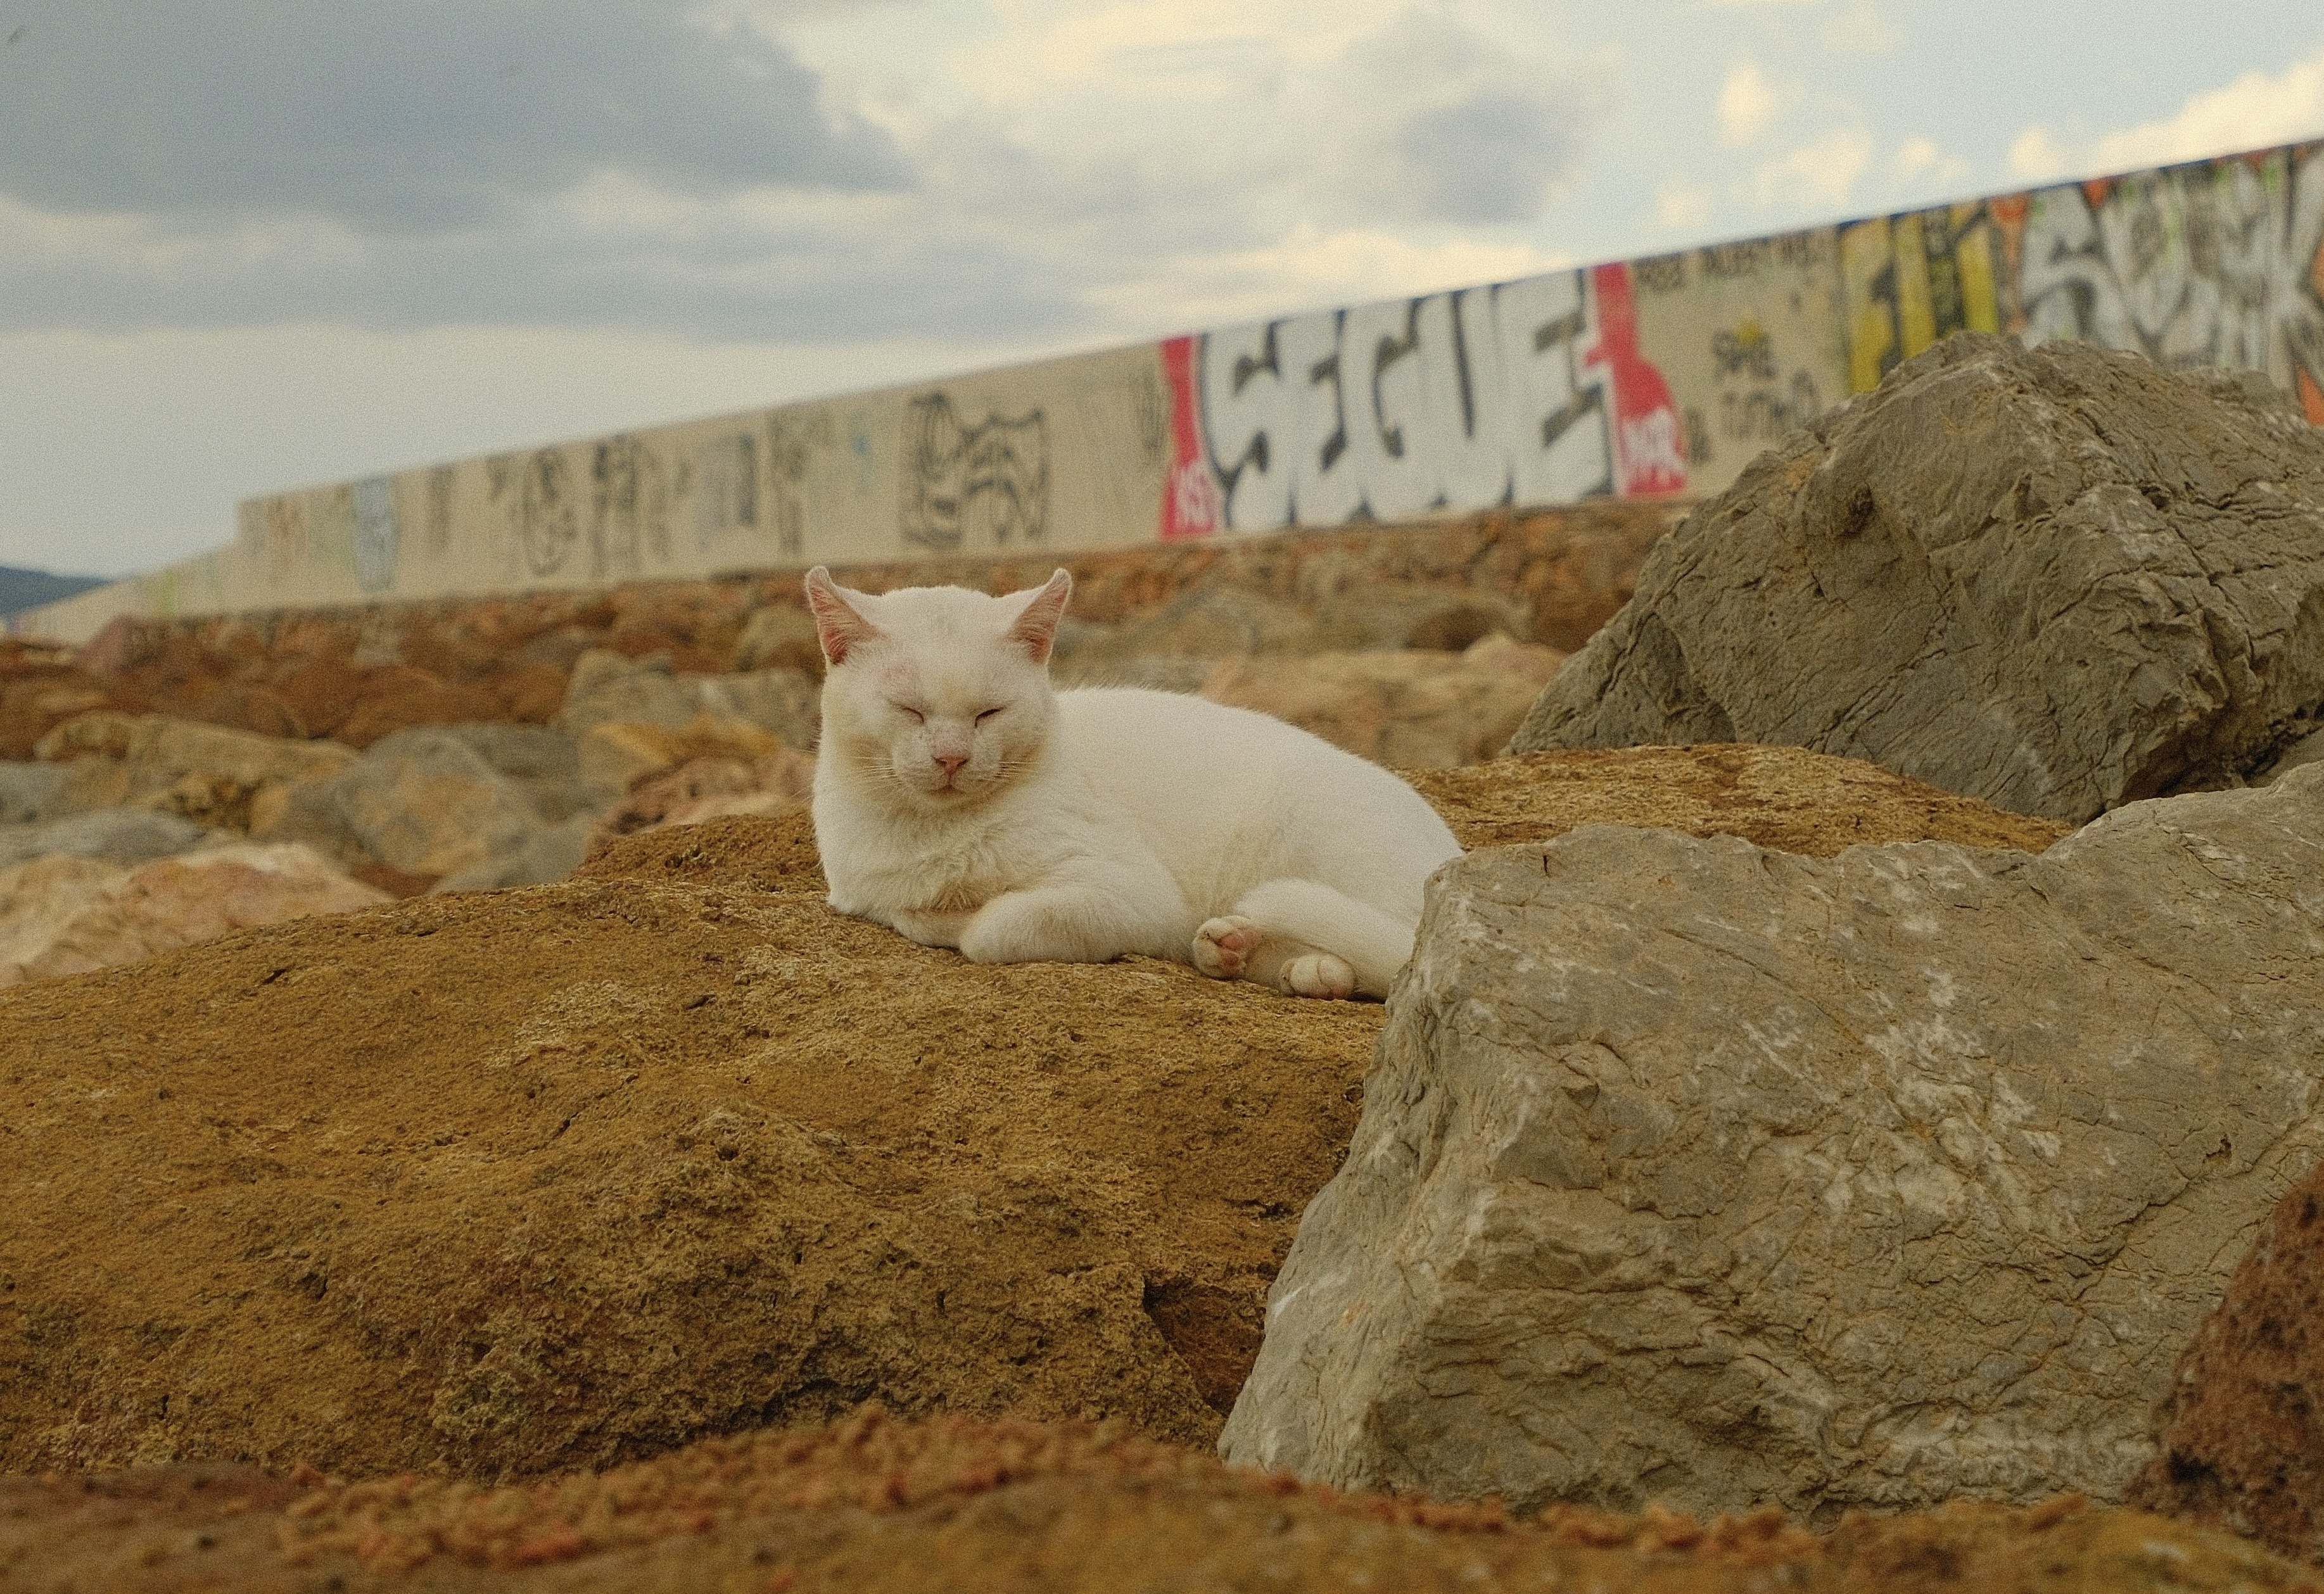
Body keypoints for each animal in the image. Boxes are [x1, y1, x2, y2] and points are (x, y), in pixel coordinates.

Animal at [799, 569, 1450, 1004]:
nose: (952, 757)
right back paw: (1245, 950)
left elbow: (991, 930)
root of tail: (1450, 852)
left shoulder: (1135, 896)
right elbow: (910, 912)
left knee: (1394, 955)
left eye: (989, 713)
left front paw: (964, 920)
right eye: (908, 710)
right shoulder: (862, 895)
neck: (935, 835)